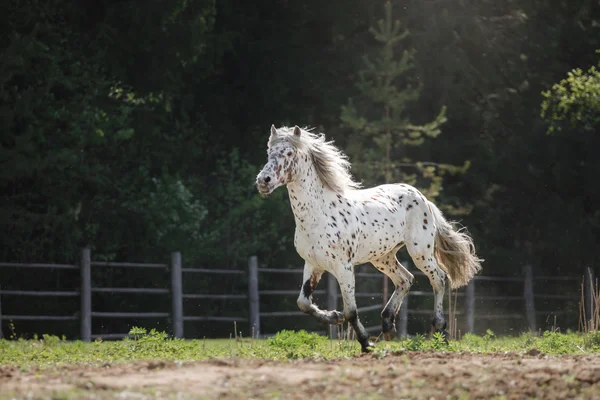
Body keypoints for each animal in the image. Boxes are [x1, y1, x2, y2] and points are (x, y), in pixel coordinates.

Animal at [254, 125, 482, 354]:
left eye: (289, 153)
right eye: (269, 152)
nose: (263, 181)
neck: (318, 215)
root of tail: (422, 198)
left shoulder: (344, 267)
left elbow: (351, 311)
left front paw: (366, 343)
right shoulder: (312, 264)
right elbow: (303, 303)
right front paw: (334, 317)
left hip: (420, 252)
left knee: (439, 278)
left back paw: (439, 331)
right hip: (383, 257)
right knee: (406, 279)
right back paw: (388, 325)